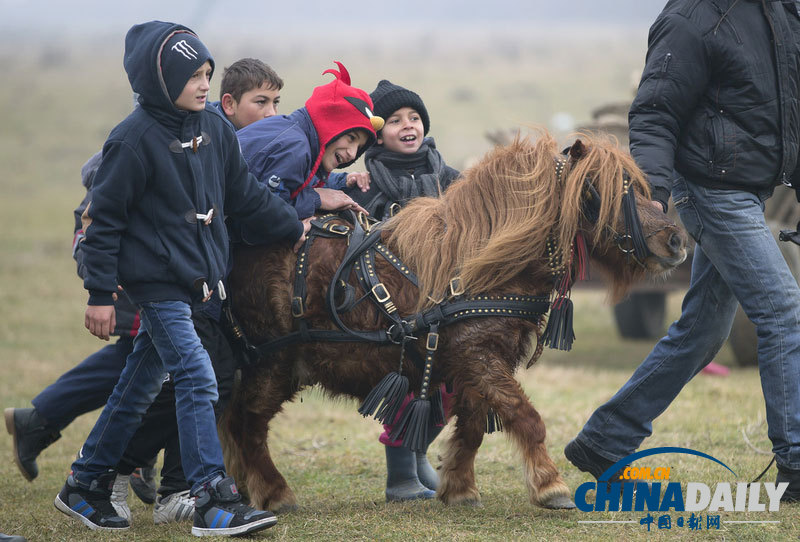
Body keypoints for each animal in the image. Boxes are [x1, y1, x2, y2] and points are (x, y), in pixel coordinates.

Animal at [220, 132, 688, 516]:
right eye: (605, 192)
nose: (677, 241)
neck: (480, 263)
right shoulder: (479, 356)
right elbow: (526, 417)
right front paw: (550, 485)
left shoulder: (470, 363)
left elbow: (475, 425)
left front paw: (459, 487)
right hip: (274, 361)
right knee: (247, 422)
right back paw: (273, 492)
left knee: (232, 420)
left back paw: (245, 488)